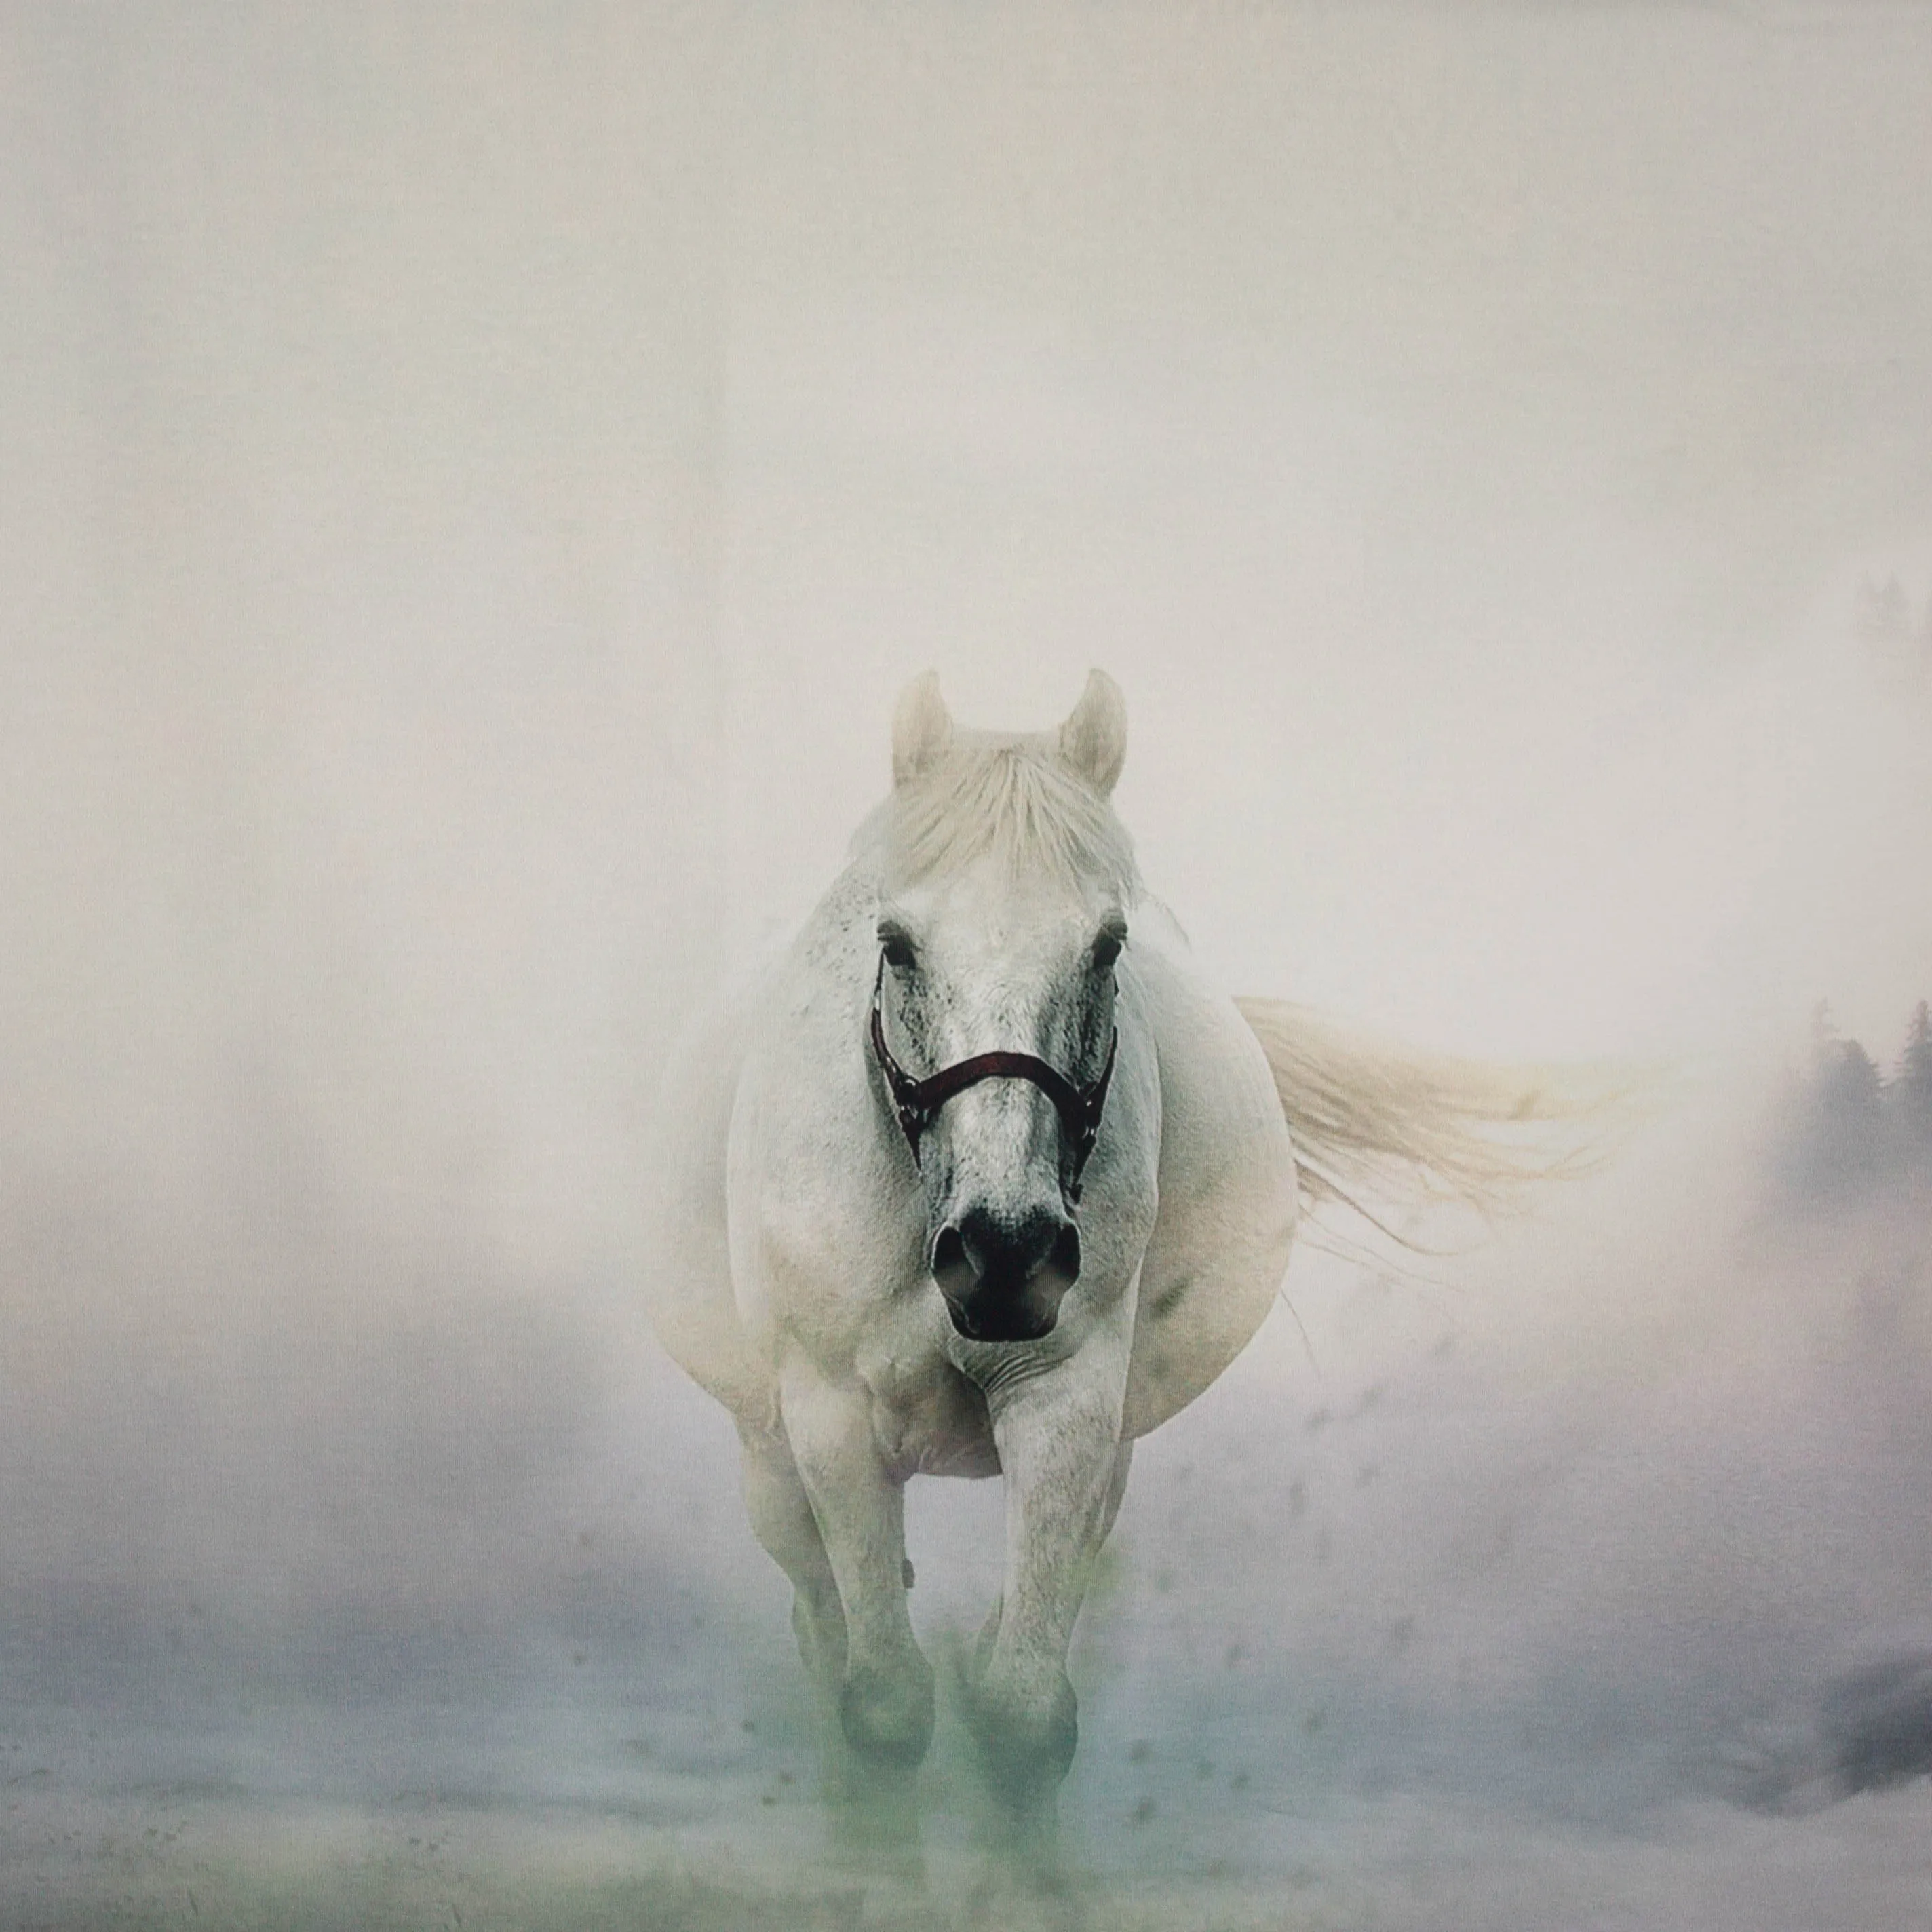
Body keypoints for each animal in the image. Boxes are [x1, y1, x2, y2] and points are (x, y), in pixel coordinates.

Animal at [646, 670, 1586, 1801]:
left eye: (1107, 944)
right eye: (896, 944)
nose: (1003, 1255)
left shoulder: (1070, 1399)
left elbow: (1020, 1710)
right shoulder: (830, 1415)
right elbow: (882, 1705)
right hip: (768, 1454)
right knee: (818, 1614)